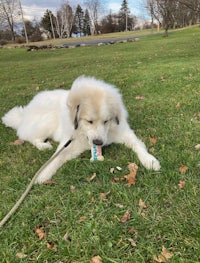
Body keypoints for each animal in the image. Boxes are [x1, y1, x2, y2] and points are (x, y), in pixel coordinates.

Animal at [1, 76, 160, 184]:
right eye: (89, 121)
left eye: (106, 121)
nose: (98, 142)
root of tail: (25, 112)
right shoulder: (69, 143)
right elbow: (56, 158)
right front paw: (43, 174)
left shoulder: (125, 133)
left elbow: (138, 146)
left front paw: (150, 161)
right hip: (46, 122)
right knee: (30, 137)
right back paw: (43, 145)